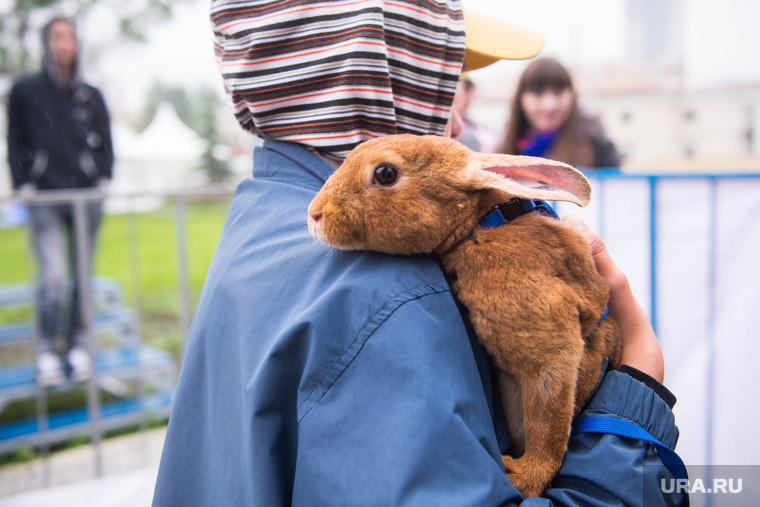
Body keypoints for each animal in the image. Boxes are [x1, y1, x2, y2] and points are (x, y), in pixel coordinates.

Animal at [306, 133, 620, 498]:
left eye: (385, 174)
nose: (314, 215)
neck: (478, 224)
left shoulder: (553, 348)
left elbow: (549, 426)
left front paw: (524, 476)